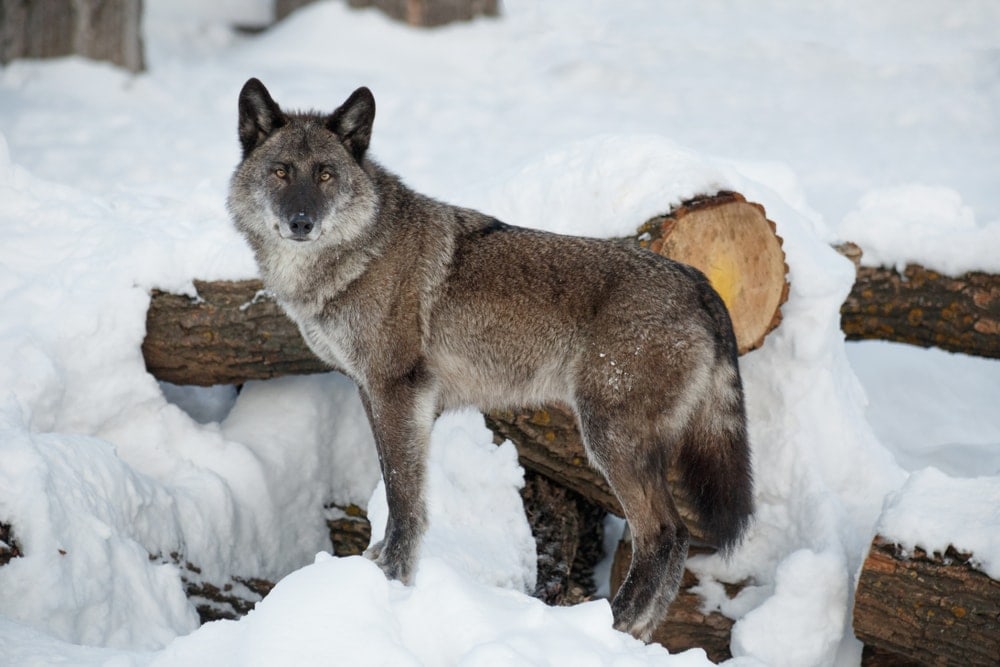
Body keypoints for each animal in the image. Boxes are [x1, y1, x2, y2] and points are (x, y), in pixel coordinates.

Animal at [227, 78, 753, 641]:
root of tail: (697, 281)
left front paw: (392, 579)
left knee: (664, 534)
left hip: (610, 441)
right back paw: (634, 635)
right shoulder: (371, 391)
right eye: (282, 171)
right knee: (673, 539)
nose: (301, 222)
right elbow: (397, 490)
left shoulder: (397, 391)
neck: (358, 255)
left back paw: (611, 626)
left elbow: (404, 498)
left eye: (325, 174)